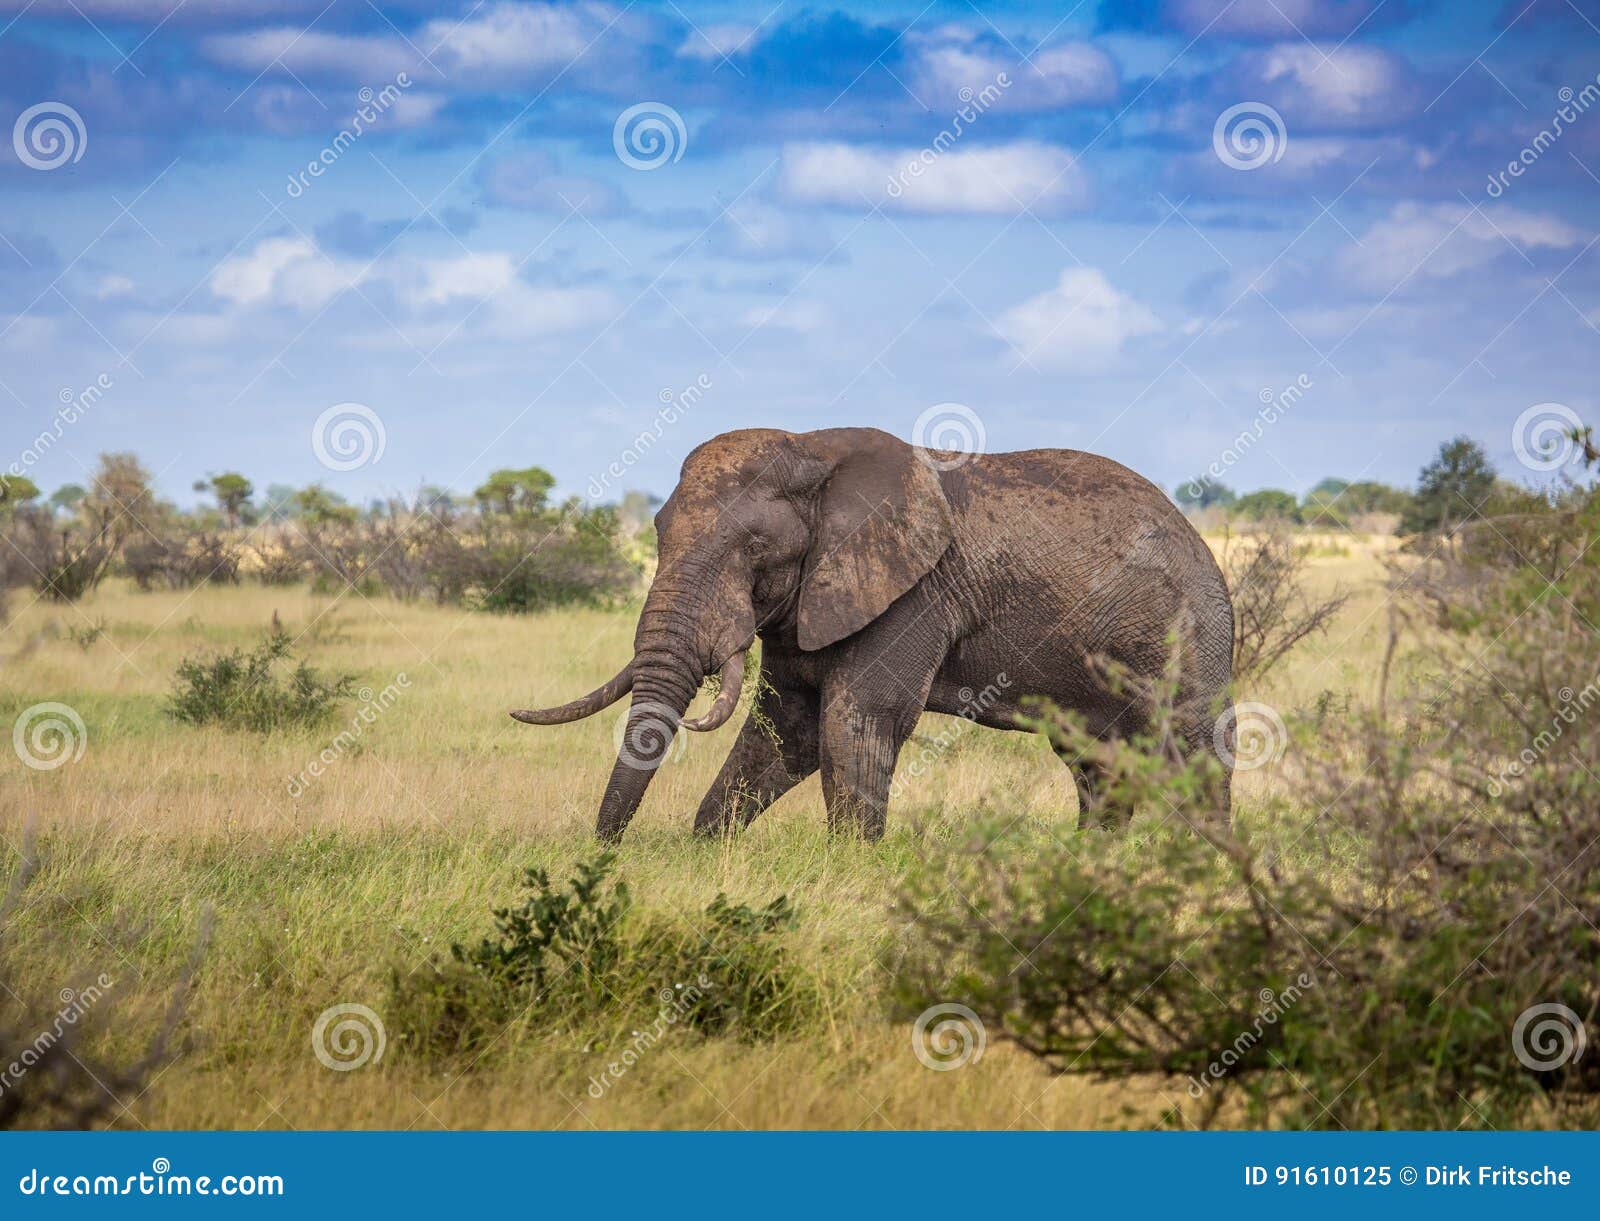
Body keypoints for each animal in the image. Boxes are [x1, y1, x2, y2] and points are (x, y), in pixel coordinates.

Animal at [512, 428, 1235, 838]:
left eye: (755, 549)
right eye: (658, 532)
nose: (605, 852)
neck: (817, 454)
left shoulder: (913, 594)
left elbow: (860, 716)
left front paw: (848, 872)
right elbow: (789, 726)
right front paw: (707, 851)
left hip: (1190, 632)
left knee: (1188, 753)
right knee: (1100, 765)